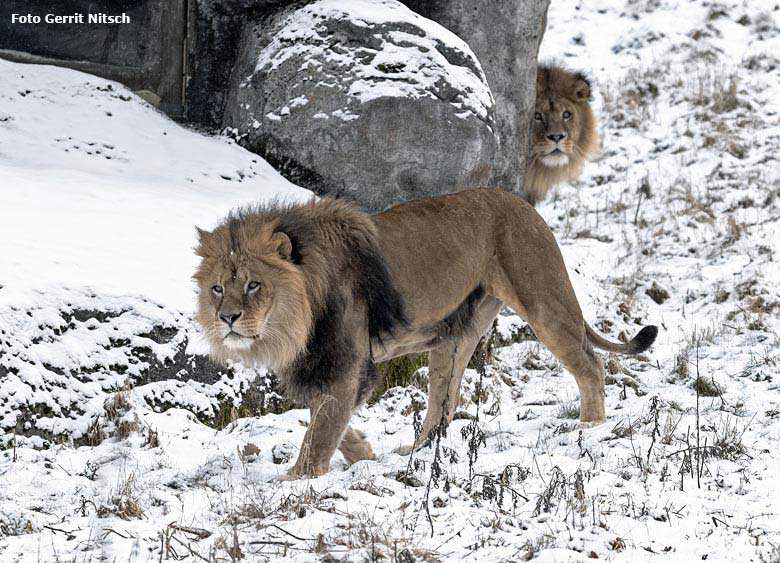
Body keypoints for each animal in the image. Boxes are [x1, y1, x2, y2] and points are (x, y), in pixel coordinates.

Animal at [192, 187, 656, 478]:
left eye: (254, 285)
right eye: (217, 288)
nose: (227, 318)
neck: (295, 318)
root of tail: (525, 204)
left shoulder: (346, 364)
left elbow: (320, 430)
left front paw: (294, 479)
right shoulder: (327, 366)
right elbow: (326, 419)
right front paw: (362, 452)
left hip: (544, 299)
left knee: (591, 364)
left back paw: (590, 425)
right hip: (453, 338)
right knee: (444, 403)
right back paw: (416, 450)